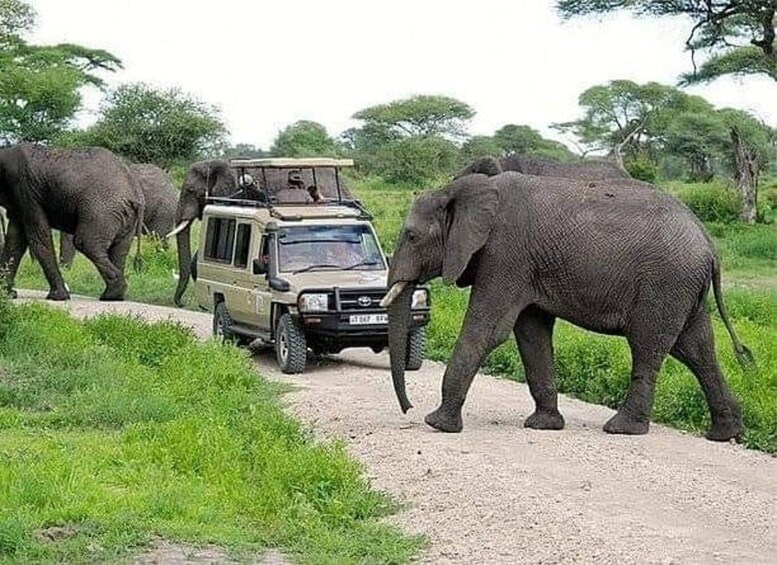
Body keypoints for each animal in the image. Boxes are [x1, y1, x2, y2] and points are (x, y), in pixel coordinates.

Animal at [0, 143, 143, 301]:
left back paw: (111, 294)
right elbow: (15, 241)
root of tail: (135, 194)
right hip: (125, 218)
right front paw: (7, 294)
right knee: (119, 251)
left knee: (85, 243)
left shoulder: (25, 189)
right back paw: (113, 295)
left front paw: (58, 297)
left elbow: (38, 236)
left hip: (101, 210)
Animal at [381, 171, 752, 441]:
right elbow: (531, 334)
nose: (408, 409)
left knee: (649, 346)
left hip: (665, 282)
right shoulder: (525, 266)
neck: (461, 188)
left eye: (411, 236)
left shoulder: (505, 254)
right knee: (696, 348)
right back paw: (725, 434)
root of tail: (709, 245)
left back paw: (621, 429)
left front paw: (437, 424)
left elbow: (487, 331)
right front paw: (543, 425)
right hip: (683, 287)